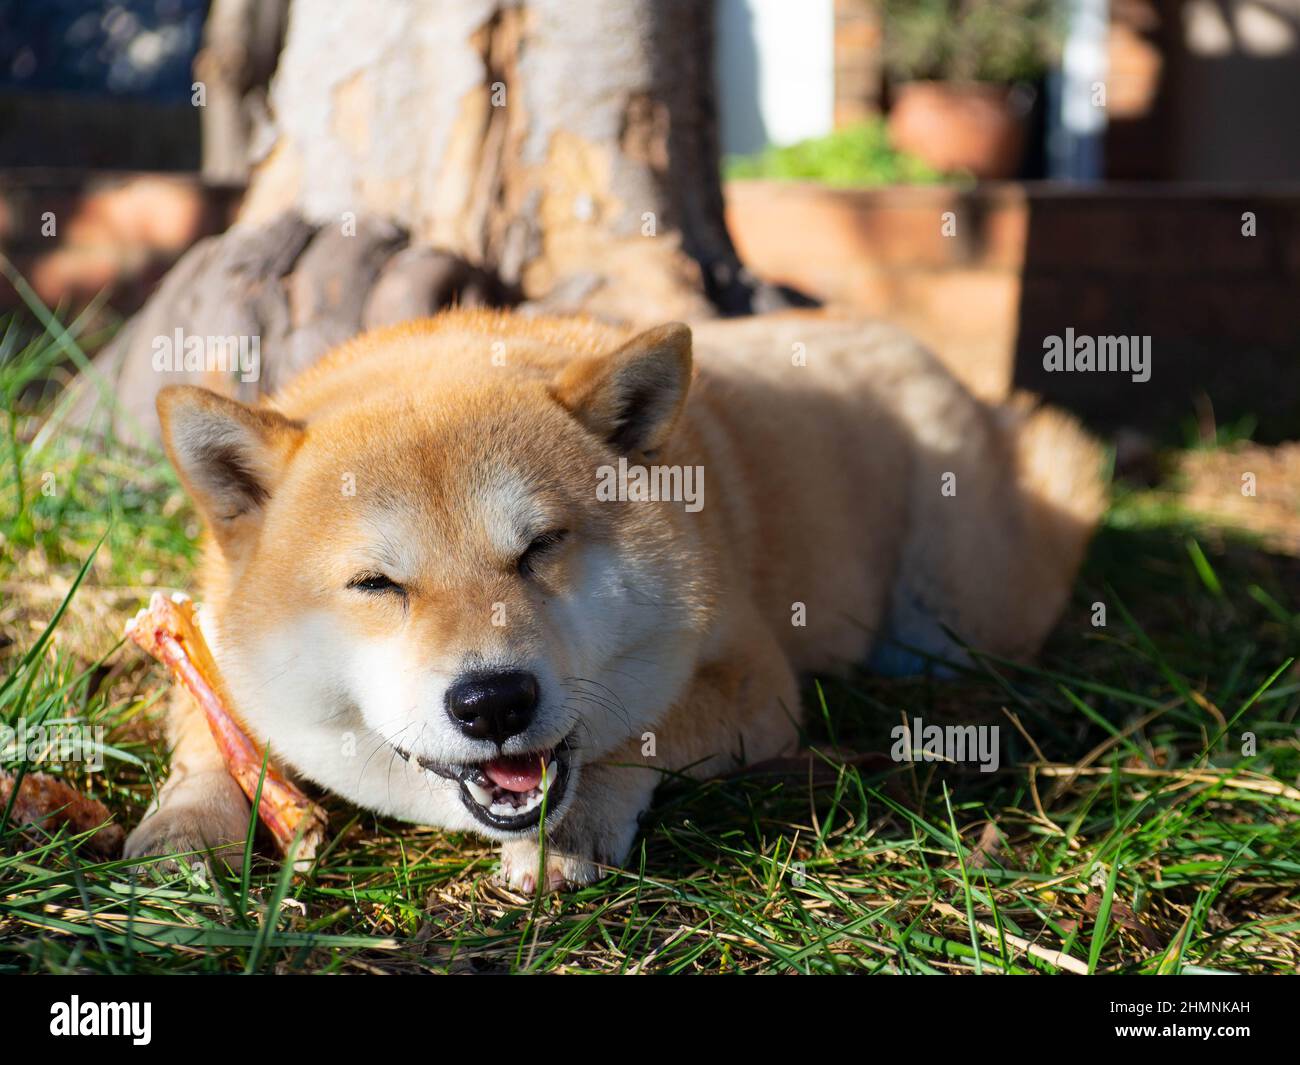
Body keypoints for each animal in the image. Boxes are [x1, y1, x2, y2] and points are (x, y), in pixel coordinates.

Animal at [124, 309, 1104, 892]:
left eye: (541, 547)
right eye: (378, 584)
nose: (494, 701)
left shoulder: (755, 679)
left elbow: (636, 732)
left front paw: (578, 820)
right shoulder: (206, 640)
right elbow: (206, 733)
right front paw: (188, 821)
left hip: (953, 610)